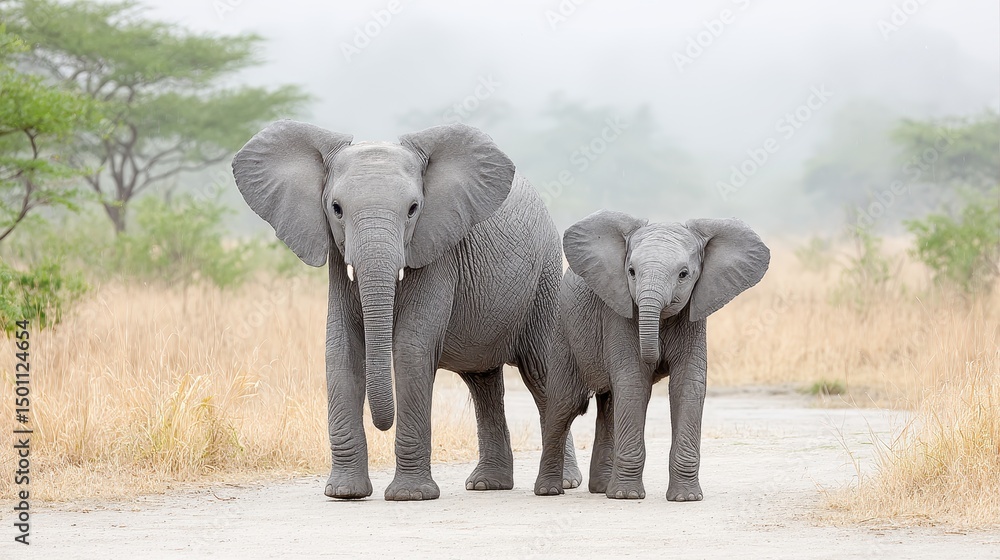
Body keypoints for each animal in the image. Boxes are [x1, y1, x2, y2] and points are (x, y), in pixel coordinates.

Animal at [232, 120, 581, 501]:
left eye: (413, 209)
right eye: (336, 209)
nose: (383, 424)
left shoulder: (437, 252)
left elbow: (411, 349)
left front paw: (410, 495)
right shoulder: (338, 257)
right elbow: (341, 349)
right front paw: (344, 493)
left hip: (545, 281)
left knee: (543, 374)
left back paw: (562, 484)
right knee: (483, 383)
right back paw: (487, 484)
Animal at [534, 210, 769, 500]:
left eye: (684, 274)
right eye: (631, 272)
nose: (655, 355)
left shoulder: (693, 313)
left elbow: (687, 385)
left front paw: (686, 498)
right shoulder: (619, 312)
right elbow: (634, 383)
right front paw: (627, 496)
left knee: (609, 406)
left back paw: (602, 489)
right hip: (563, 332)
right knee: (564, 404)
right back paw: (549, 490)